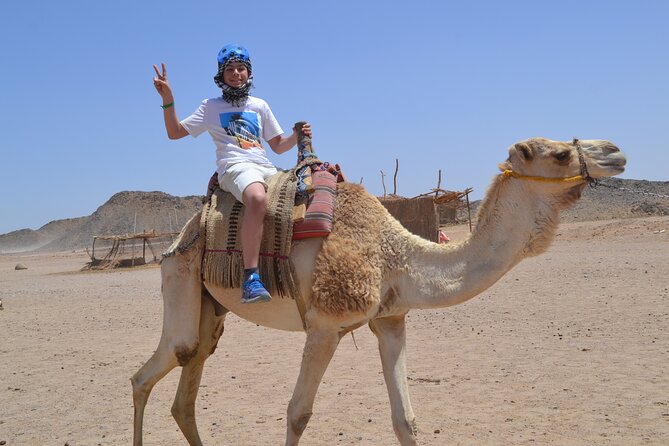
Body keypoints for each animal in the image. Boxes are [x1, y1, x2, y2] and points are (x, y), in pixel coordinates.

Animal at [131, 137, 626, 445]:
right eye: (559, 154)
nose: (616, 152)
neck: (395, 256)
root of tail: (185, 231)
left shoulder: (390, 319)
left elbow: (406, 420)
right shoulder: (325, 325)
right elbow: (297, 413)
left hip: (212, 308)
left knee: (188, 382)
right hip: (180, 275)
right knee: (154, 369)